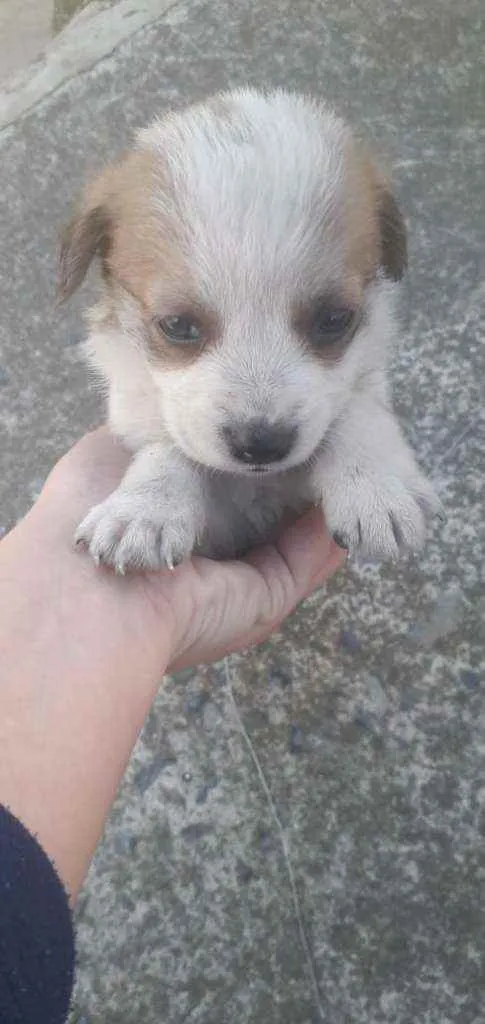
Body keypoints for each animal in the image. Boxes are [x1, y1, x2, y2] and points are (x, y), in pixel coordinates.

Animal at [58, 87, 442, 569]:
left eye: (334, 320)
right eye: (177, 325)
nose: (261, 443)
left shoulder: (362, 383)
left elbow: (357, 413)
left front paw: (376, 487)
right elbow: (167, 447)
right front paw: (145, 509)